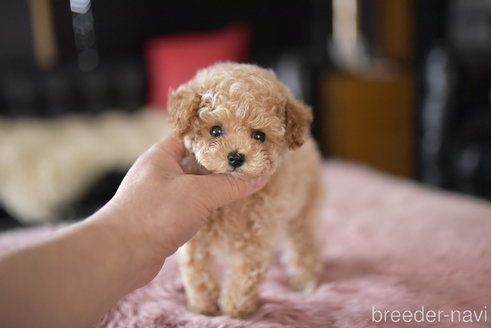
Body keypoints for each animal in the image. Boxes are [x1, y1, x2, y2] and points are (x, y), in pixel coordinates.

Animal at [168, 61, 322, 318]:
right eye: (215, 131)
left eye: (259, 135)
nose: (236, 157)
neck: (231, 202)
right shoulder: (194, 235)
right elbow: (197, 269)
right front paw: (203, 306)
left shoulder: (256, 235)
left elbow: (244, 272)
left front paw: (234, 308)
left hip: (305, 206)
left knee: (304, 242)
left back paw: (306, 280)